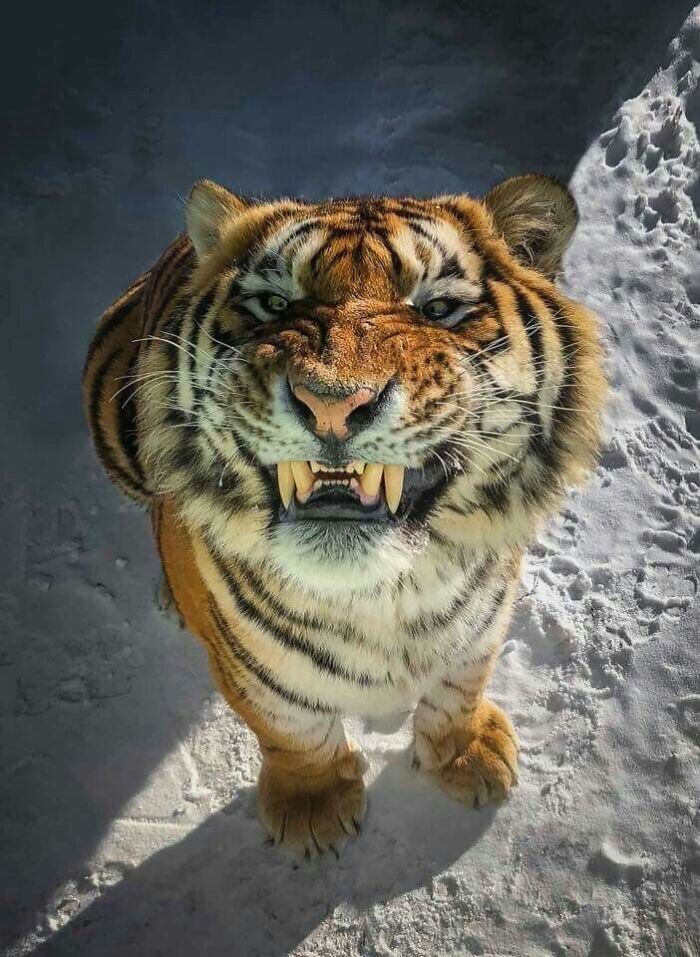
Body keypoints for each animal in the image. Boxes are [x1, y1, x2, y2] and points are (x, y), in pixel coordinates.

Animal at [82, 175, 605, 857]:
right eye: (274, 304)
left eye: (438, 309)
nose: (331, 403)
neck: (384, 594)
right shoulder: (250, 667)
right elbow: (290, 727)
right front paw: (315, 810)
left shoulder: (482, 621)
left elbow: (461, 686)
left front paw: (468, 756)